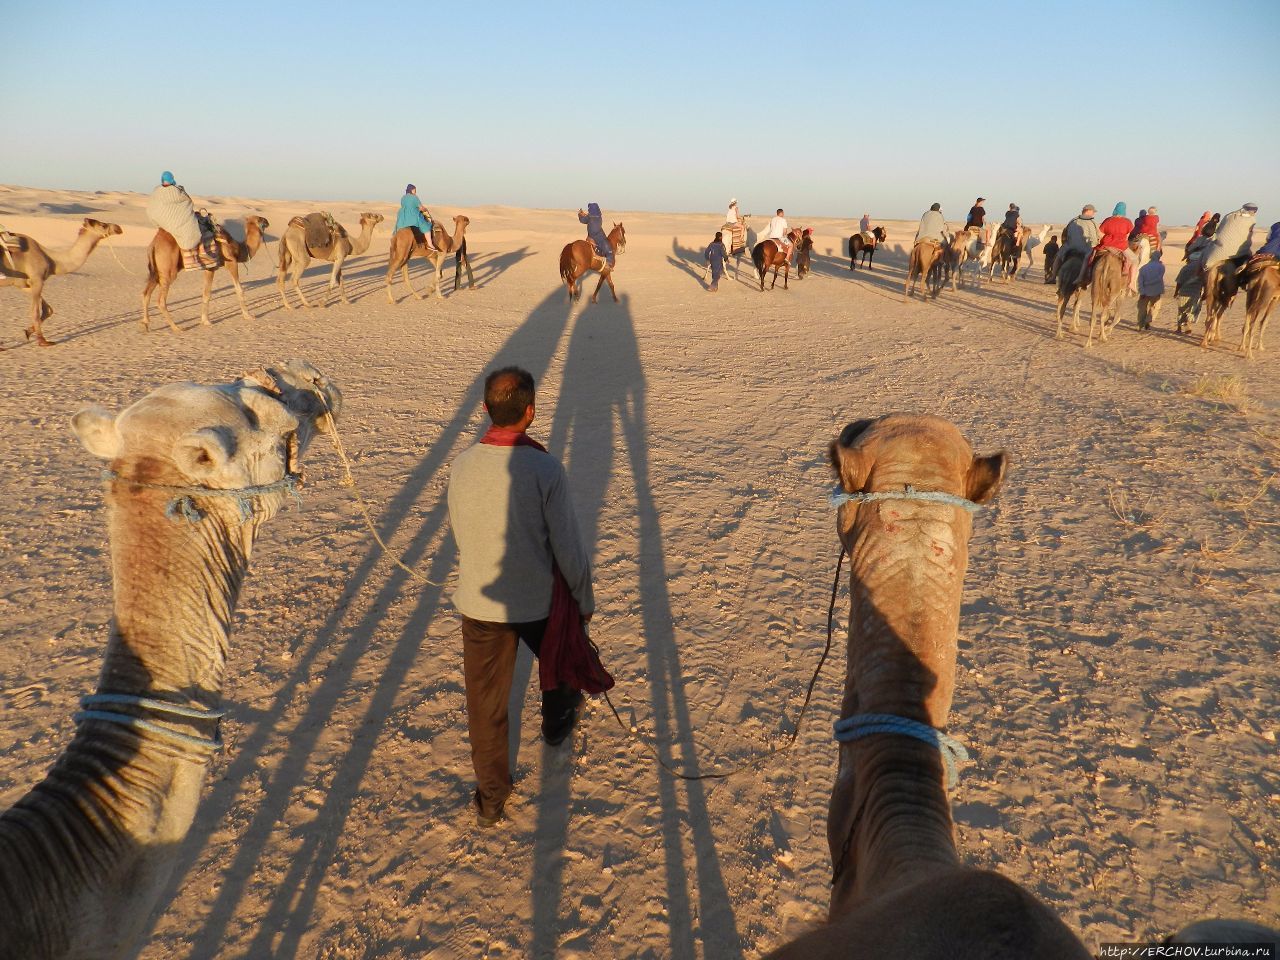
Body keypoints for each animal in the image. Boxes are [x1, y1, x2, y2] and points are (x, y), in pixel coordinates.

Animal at [0, 217, 122, 345]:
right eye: (103, 225)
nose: (118, 228)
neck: (52, 259)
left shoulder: (25, 284)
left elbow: (48, 310)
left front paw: (28, 332)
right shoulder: (37, 279)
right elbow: (35, 312)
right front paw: (43, 341)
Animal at [139, 216, 270, 335]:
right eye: (260, 219)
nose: (267, 221)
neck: (237, 247)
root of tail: (154, 244)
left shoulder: (210, 268)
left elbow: (206, 293)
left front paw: (205, 321)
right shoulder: (231, 262)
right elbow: (239, 289)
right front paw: (248, 316)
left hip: (156, 272)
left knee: (146, 293)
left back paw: (145, 324)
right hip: (168, 271)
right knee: (161, 300)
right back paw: (176, 328)